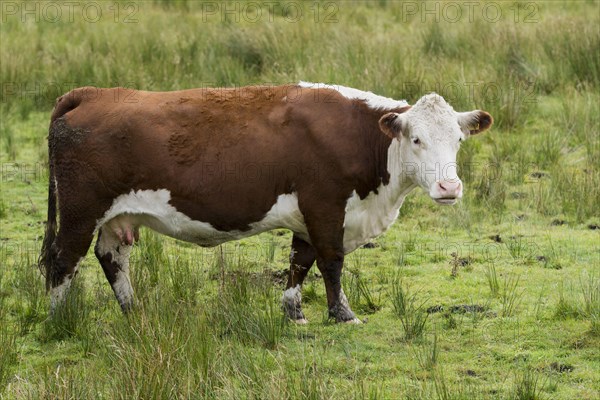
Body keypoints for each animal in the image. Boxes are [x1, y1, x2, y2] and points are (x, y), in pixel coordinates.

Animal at [36, 81, 492, 322]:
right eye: (416, 139)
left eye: (458, 139)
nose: (449, 188)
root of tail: (94, 92)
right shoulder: (325, 206)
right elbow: (331, 262)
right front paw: (343, 314)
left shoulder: (308, 216)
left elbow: (300, 261)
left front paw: (294, 312)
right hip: (80, 212)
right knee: (63, 259)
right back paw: (57, 320)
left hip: (116, 217)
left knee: (112, 257)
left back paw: (134, 311)